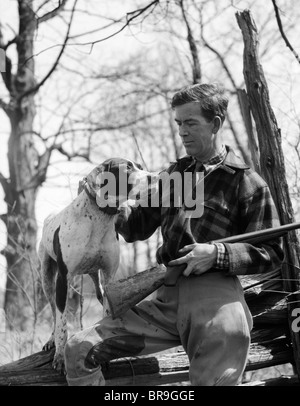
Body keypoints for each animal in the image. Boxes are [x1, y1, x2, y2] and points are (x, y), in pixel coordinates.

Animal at [38, 157, 155, 372]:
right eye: (127, 168)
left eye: (141, 168)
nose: (155, 176)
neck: (98, 218)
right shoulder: (63, 280)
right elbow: (62, 323)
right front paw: (60, 356)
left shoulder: (109, 278)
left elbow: (107, 315)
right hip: (47, 279)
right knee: (54, 312)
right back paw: (51, 341)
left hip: (97, 281)